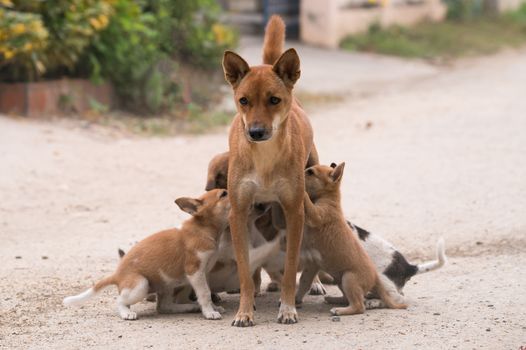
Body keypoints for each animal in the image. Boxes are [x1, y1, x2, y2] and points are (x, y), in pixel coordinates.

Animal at [63, 189, 231, 320]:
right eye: (223, 194)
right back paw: (126, 313)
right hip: (141, 285)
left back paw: (190, 307)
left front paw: (213, 308)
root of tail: (117, 275)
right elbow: (205, 293)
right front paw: (210, 312)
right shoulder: (195, 272)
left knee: (164, 307)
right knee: (120, 301)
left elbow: (204, 293)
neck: (204, 230)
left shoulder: (199, 274)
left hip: (170, 283)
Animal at [222, 15, 318, 324]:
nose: (255, 132)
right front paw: (244, 311)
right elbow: (244, 271)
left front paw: (287, 307)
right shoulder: (238, 213)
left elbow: (290, 266)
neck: (264, 157)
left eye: (274, 100)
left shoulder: (294, 211)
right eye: (244, 100)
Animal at [296, 165, 408, 318]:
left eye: (311, 172)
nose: (298, 174)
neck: (330, 198)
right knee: (347, 299)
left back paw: (340, 310)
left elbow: (307, 202)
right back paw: (334, 300)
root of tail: (375, 277)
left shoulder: (316, 215)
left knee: (359, 306)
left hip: (349, 279)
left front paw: (303, 192)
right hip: (340, 280)